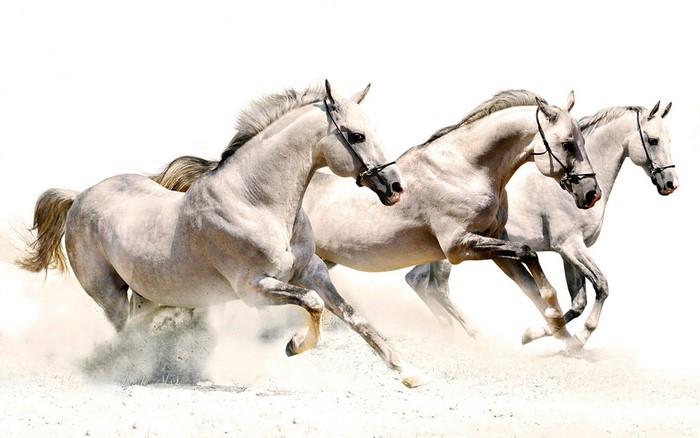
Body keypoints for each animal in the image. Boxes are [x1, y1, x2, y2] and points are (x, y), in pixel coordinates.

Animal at [18, 81, 432, 388]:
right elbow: (314, 304)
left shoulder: (312, 270)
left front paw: (410, 373)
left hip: (148, 293)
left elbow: (352, 315)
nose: (396, 187)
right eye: (356, 135)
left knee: (139, 327)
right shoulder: (254, 289)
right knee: (127, 333)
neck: (256, 202)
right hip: (109, 294)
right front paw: (294, 346)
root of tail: (79, 196)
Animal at [147, 89, 601, 346]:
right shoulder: (460, 247)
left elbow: (532, 278)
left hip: (313, 266)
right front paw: (555, 325)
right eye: (567, 143)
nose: (590, 193)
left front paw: (558, 335)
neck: (466, 167)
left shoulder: (491, 244)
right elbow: (530, 255)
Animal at [405, 101, 678, 347]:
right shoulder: (570, 247)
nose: (670, 184)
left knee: (416, 280)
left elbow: (578, 302)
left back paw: (448, 330)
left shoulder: (569, 252)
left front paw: (540, 333)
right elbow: (601, 286)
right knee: (437, 287)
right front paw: (577, 337)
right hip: (453, 252)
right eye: (653, 140)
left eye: (669, 140)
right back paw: (472, 333)